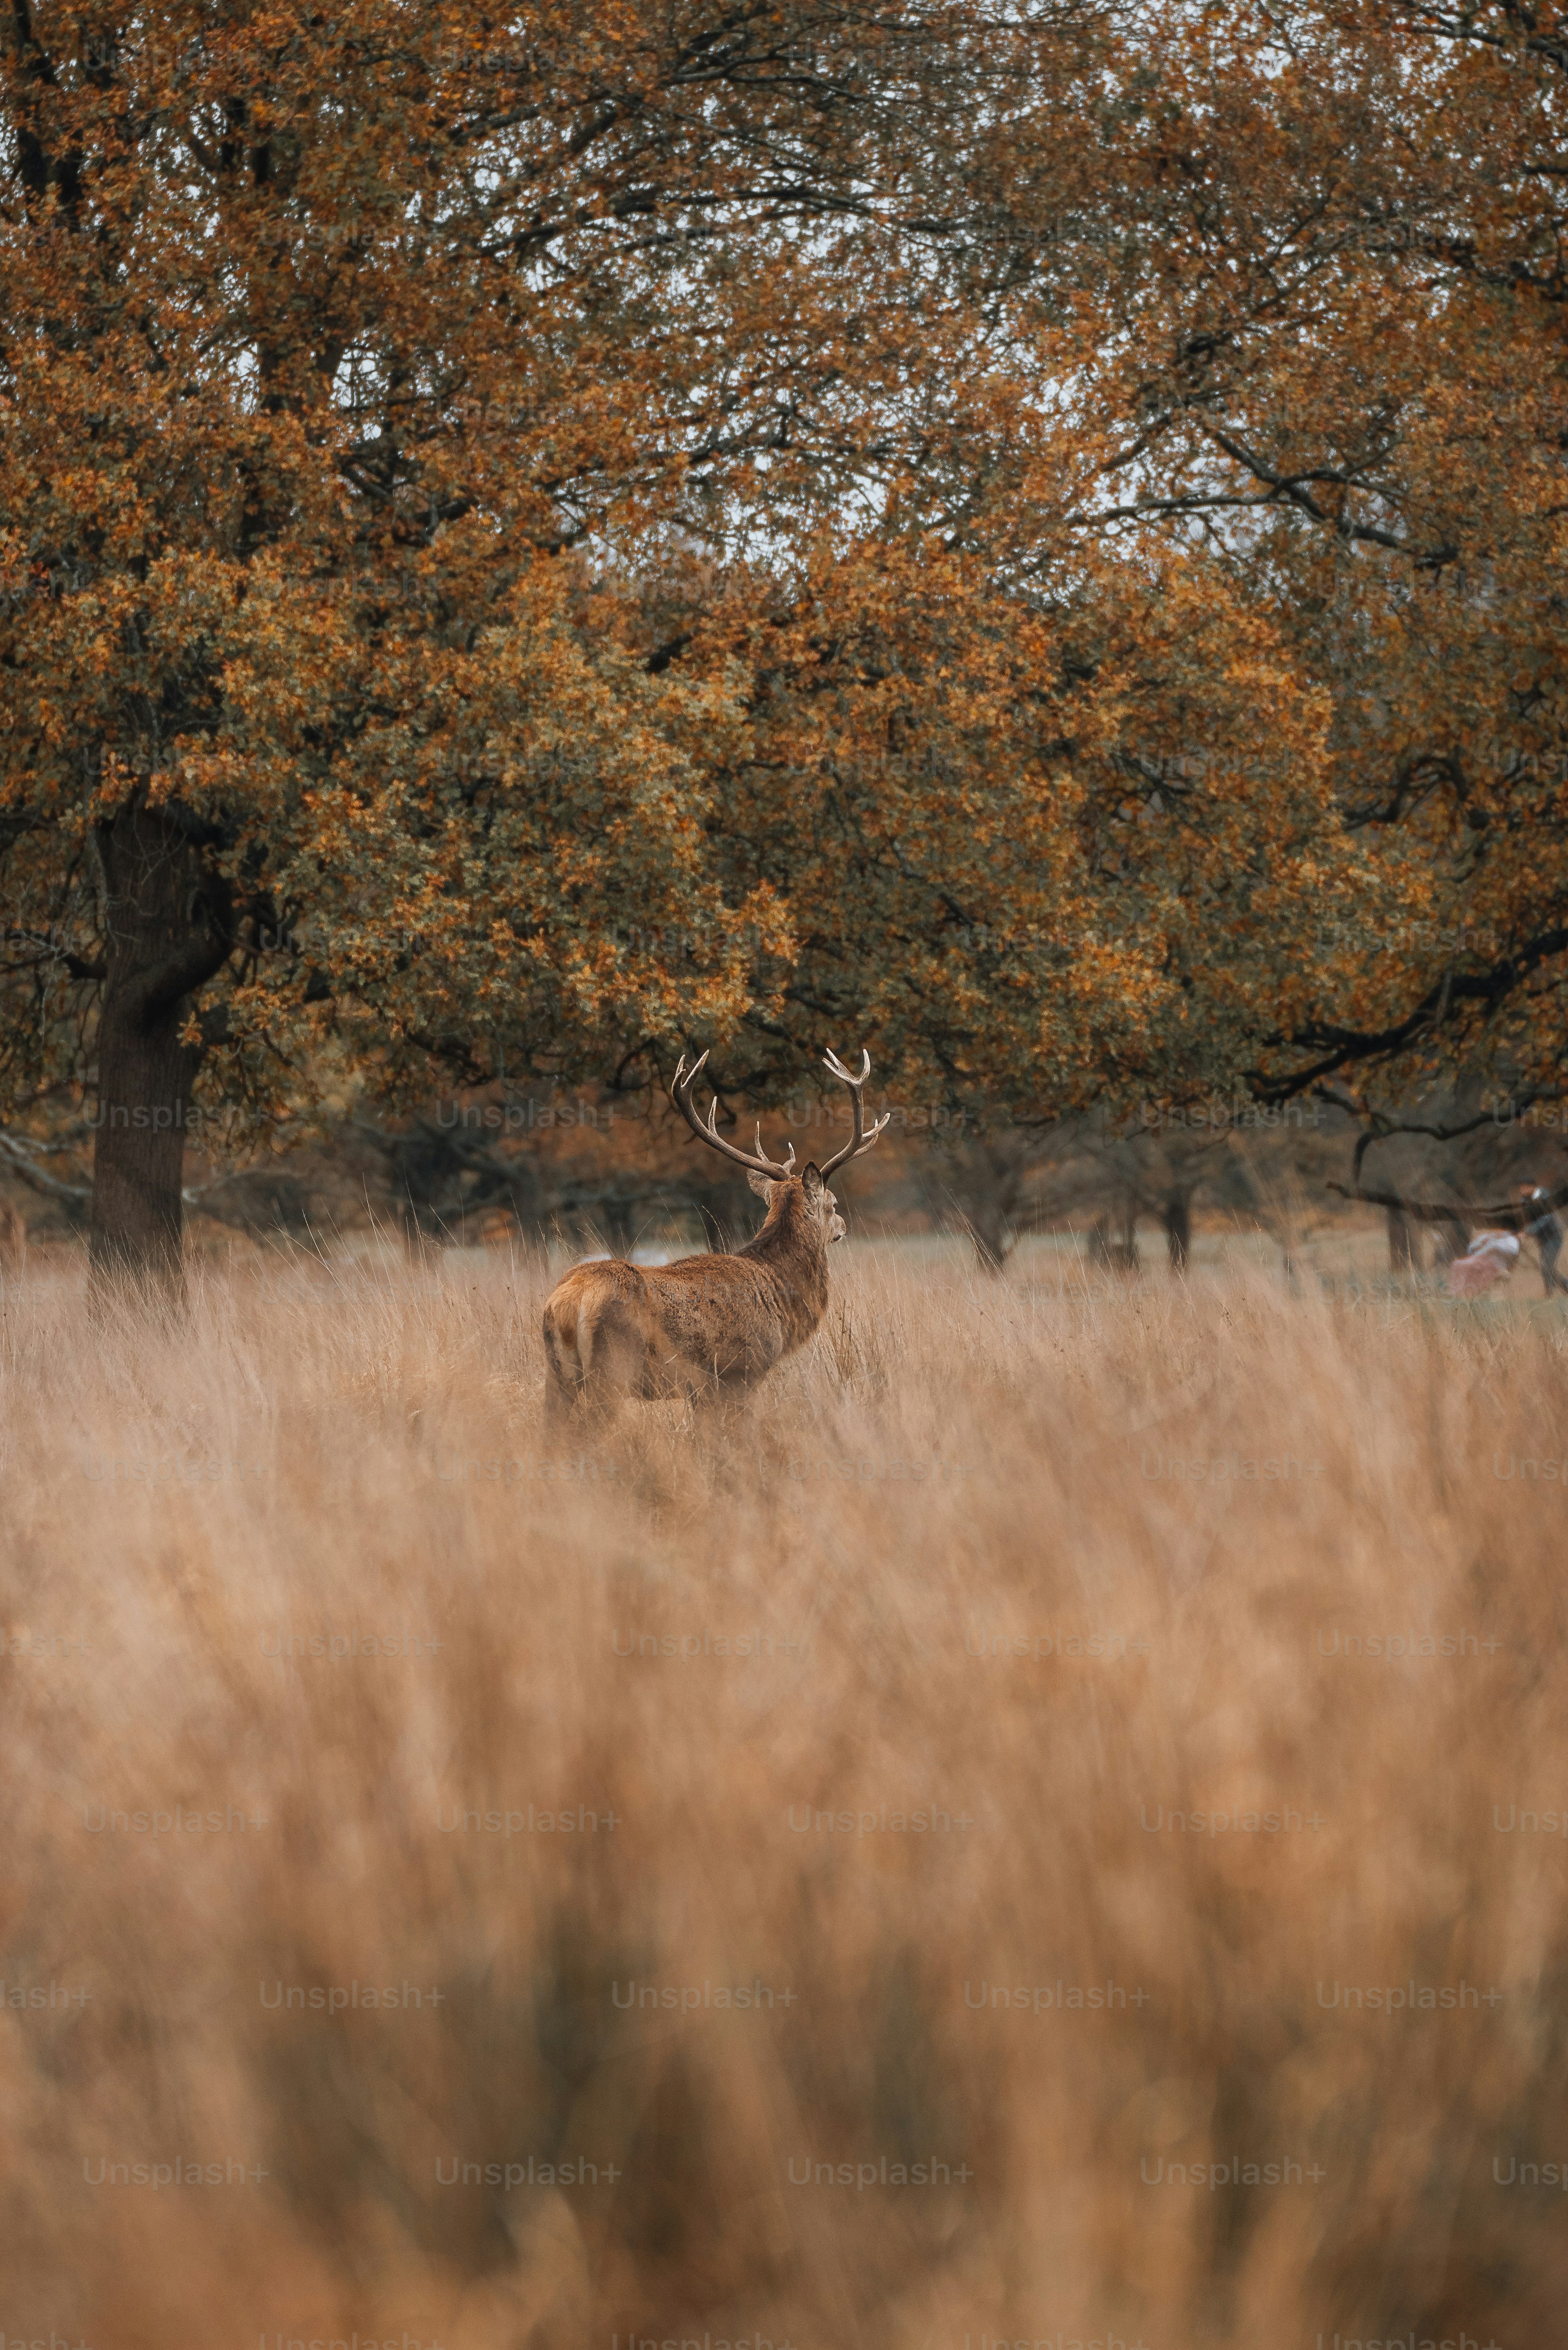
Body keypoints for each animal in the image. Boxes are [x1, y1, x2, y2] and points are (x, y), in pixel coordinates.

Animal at [541, 1047, 889, 1419]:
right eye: (834, 1204)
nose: (843, 1227)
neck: (781, 1295)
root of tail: (568, 1301)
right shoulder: (741, 1373)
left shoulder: (701, 1390)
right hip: (612, 1369)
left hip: (556, 1375)